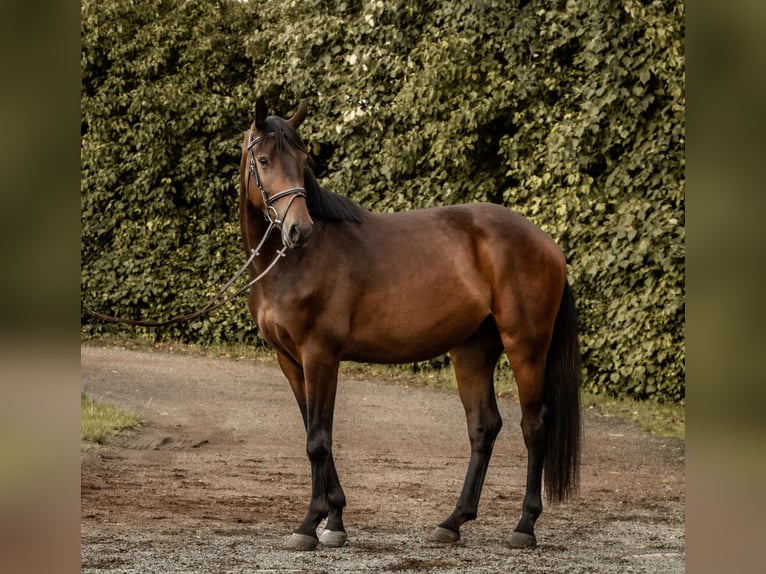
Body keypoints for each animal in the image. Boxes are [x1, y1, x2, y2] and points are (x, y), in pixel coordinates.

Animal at [240, 99, 584, 552]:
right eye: (263, 160)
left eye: (303, 161)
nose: (300, 230)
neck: (294, 264)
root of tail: (549, 244)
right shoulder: (290, 361)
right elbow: (315, 434)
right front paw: (334, 521)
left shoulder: (320, 356)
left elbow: (318, 439)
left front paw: (309, 524)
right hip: (472, 350)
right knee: (484, 427)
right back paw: (453, 521)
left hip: (525, 346)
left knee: (535, 425)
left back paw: (524, 526)